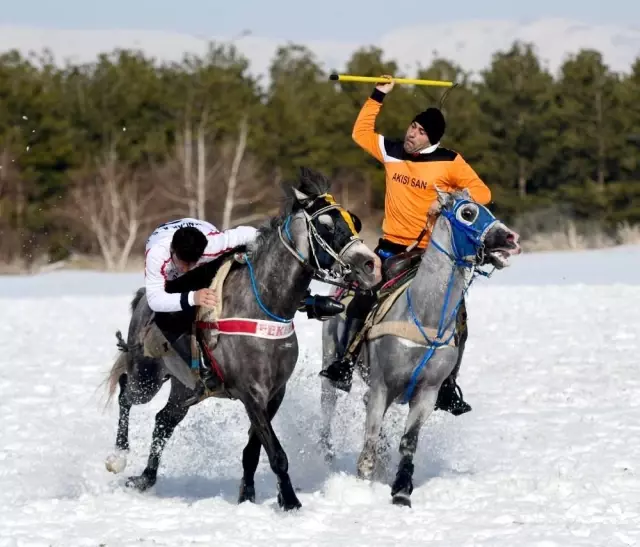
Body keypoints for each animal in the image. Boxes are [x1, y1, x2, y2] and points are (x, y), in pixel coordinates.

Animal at [104, 169, 380, 512]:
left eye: (354, 221)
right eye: (326, 225)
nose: (370, 265)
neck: (264, 306)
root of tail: (142, 299)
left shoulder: (274, 393)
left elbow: (253, 451)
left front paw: (248, 495)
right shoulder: (251, 394)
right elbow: (276, 453)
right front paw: (291, 502)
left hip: (185, 388)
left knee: (163, 421)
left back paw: (145, 478)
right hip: (147, 376)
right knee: (126, 394)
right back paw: (118, 457)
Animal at [320, 189, 520, 510]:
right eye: (468, 213)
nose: (511, 238)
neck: (425, 314)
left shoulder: (427, 392)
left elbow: (408, 442)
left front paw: (401, 491)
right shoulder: (382, 386)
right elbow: (370, 438)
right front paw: (362, 488)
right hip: (331, 360)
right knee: (328, 405)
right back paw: (326, 452)